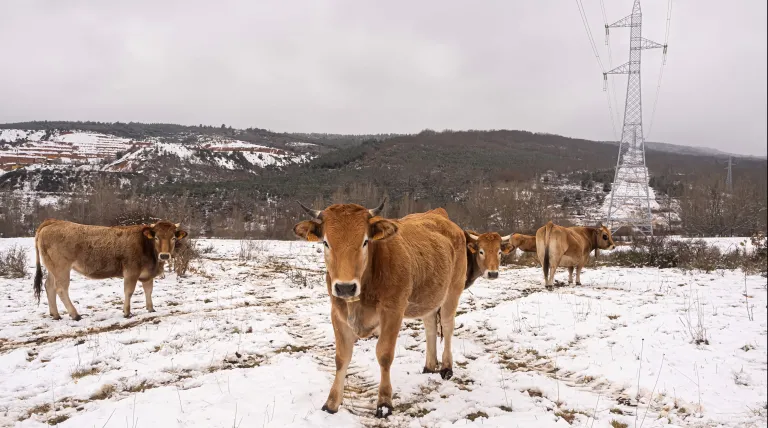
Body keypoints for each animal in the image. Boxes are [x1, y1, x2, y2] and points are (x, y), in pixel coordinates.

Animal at [33, 219, 187, 320]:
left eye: (173, 238)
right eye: (156, 237)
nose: (164, 255)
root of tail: (54, 221)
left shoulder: (147, 274)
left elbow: (148, 291)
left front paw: (151, 309)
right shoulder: (131, 271)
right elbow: (129, 291)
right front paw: (127, 312)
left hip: (52, 268)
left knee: (49, 286)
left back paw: (55, 314)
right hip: (62, 268)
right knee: (61, 289)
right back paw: (75, 314)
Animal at [293, 201, 467, 418]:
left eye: (365, 241)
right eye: (325, 242)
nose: (345, 287)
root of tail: (439, 214)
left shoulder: (393, 311)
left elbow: (384, 354)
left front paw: (384, 403)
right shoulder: (337, 313)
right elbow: (341, 358)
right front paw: (331, 403)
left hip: (452, 290)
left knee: (448, 325)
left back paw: (446, 368)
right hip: (428, 297)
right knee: (430, 327)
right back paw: (429, 365)